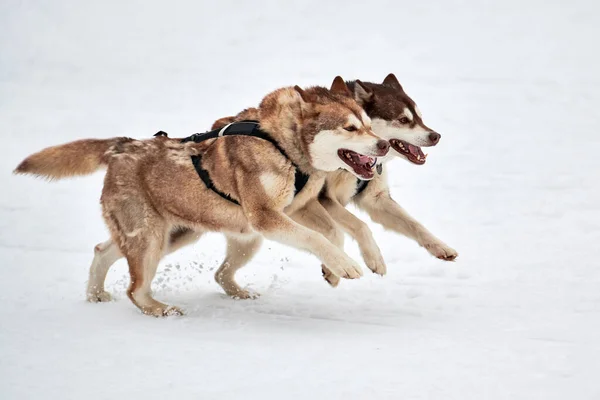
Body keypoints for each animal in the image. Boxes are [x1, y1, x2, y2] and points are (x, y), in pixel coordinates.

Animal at [15, 83, 390, 318]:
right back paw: (159, 308)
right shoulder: (266, 216)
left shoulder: (299, 207)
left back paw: (96, 295)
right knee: (135, 288)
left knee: (109, 252)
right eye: (350, 128)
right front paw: (343, 265)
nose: (384, 145)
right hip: (153, 239)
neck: (282, 145)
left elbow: (343, 231)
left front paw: (341, 267)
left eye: (370, 125)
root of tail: (123, 147)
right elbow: (318, 237)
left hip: (199, 236)